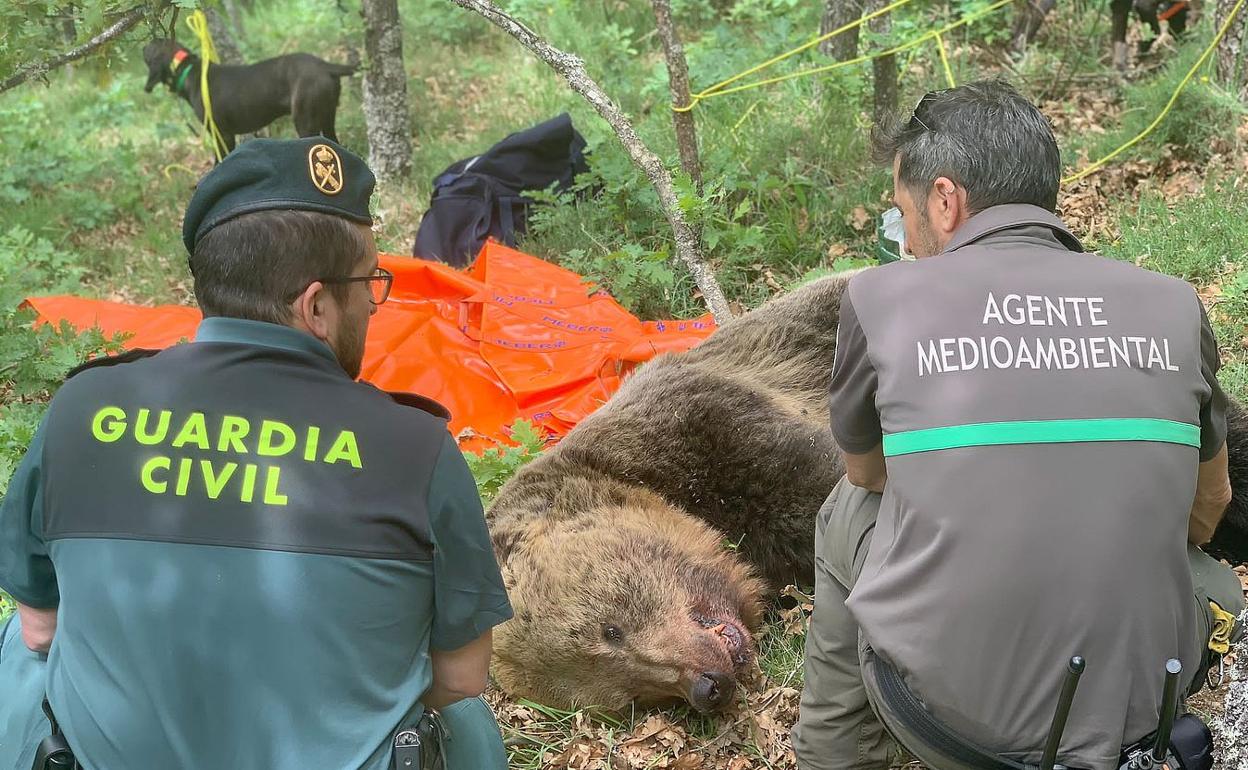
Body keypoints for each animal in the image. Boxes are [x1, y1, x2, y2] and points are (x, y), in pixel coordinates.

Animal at [142, 40, 354, 159]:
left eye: (152, 46)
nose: (143, 46)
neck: (188, 69)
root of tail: (325, 65)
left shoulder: (223, 135)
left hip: (306, 122)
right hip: (328, 117)